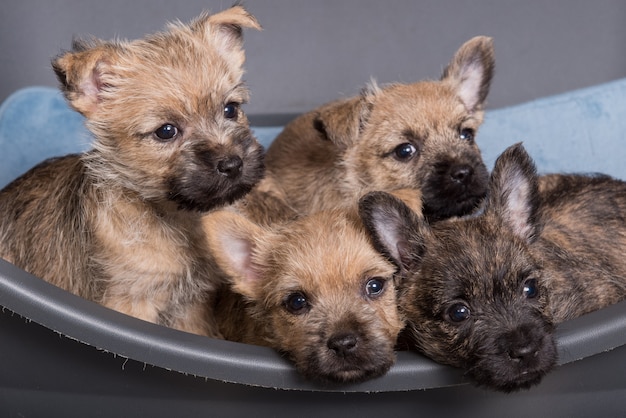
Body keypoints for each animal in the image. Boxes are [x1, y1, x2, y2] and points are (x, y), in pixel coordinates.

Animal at [0, 6, 262, 336]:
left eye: (231, 109)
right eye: (166, 131)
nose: (232, 164)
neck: (175, 218)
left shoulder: (192, 308)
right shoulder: (132, 303)